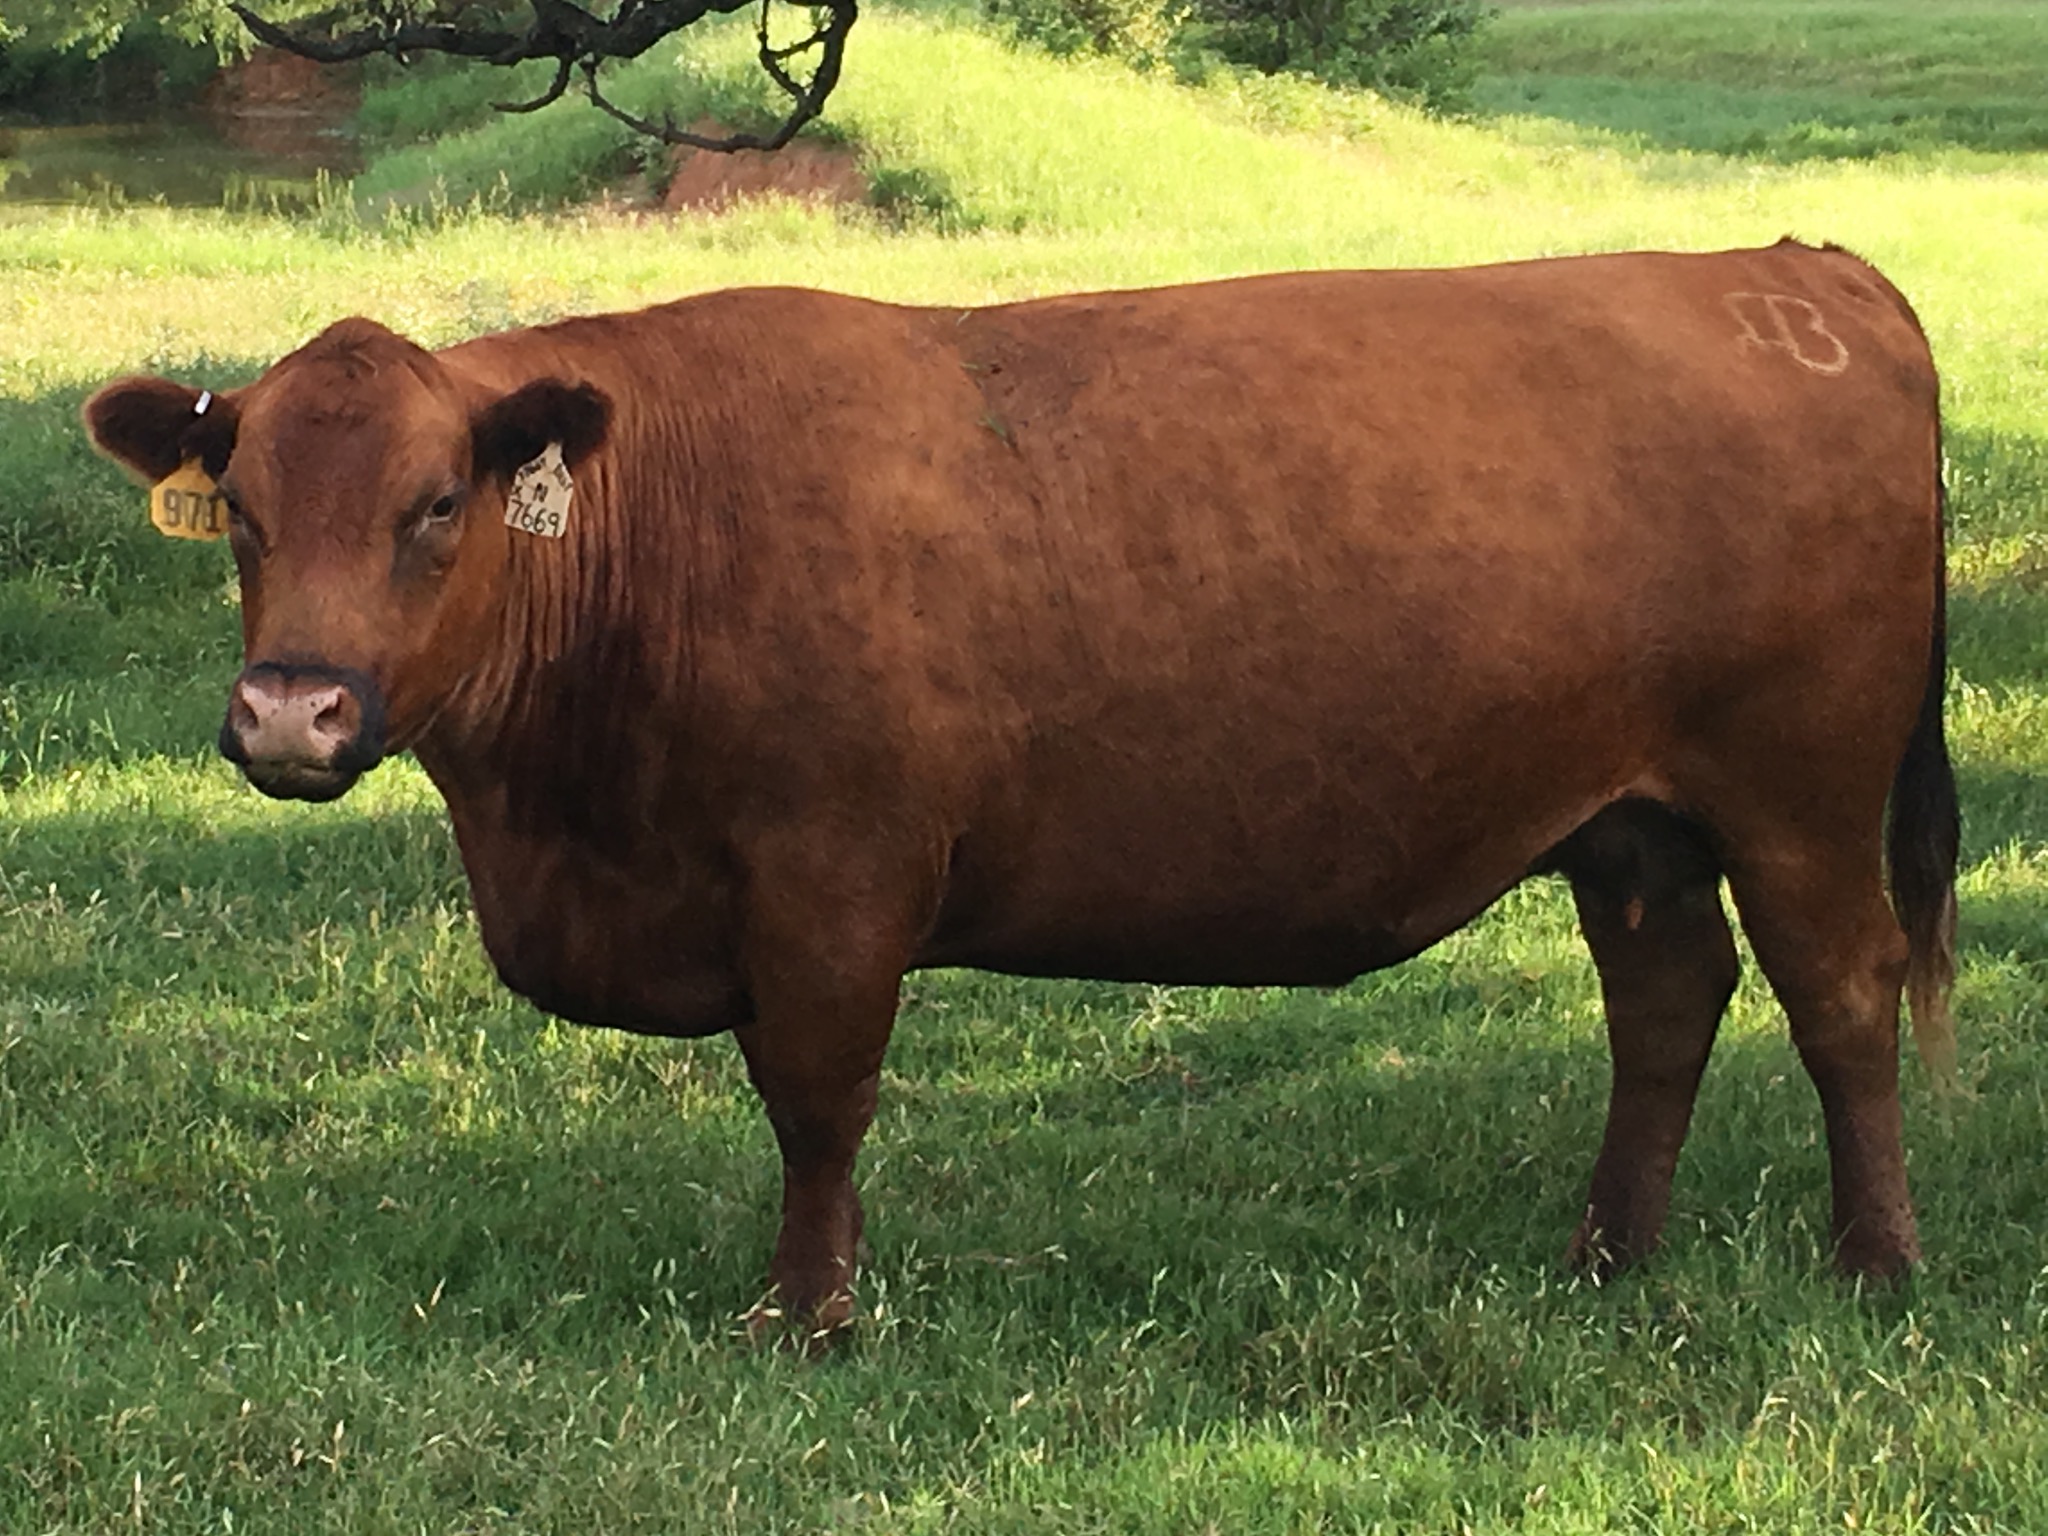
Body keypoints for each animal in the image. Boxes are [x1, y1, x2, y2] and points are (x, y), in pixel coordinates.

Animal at [88, 243, 1957, 1335]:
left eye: (435, 507)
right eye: (241, 510)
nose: (292, 714)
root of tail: (1792, 275)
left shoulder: (836, 876)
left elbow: (815, 1100)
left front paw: (809, 1319)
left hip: (1799, 788)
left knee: (1841, 996)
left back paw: (1874, 1264)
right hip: (1629, 821)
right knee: (1666, 1001)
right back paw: (1605, 1258)